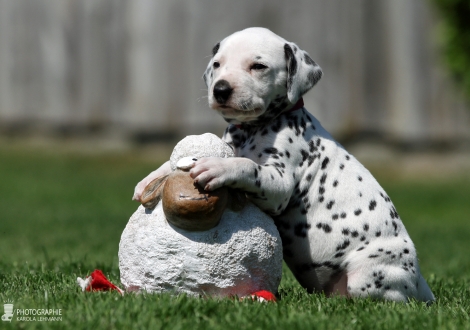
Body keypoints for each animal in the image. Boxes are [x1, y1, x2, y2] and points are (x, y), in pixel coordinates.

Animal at [134, 27, 436, 302]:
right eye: (217, 64)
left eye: (258, 66)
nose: (220, 89)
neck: (252, 129)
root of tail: (421, 284)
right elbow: (176, 162)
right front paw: (150, 179)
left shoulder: (278, 185)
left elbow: (247, 166)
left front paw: (217, 168)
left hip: (370, 274)